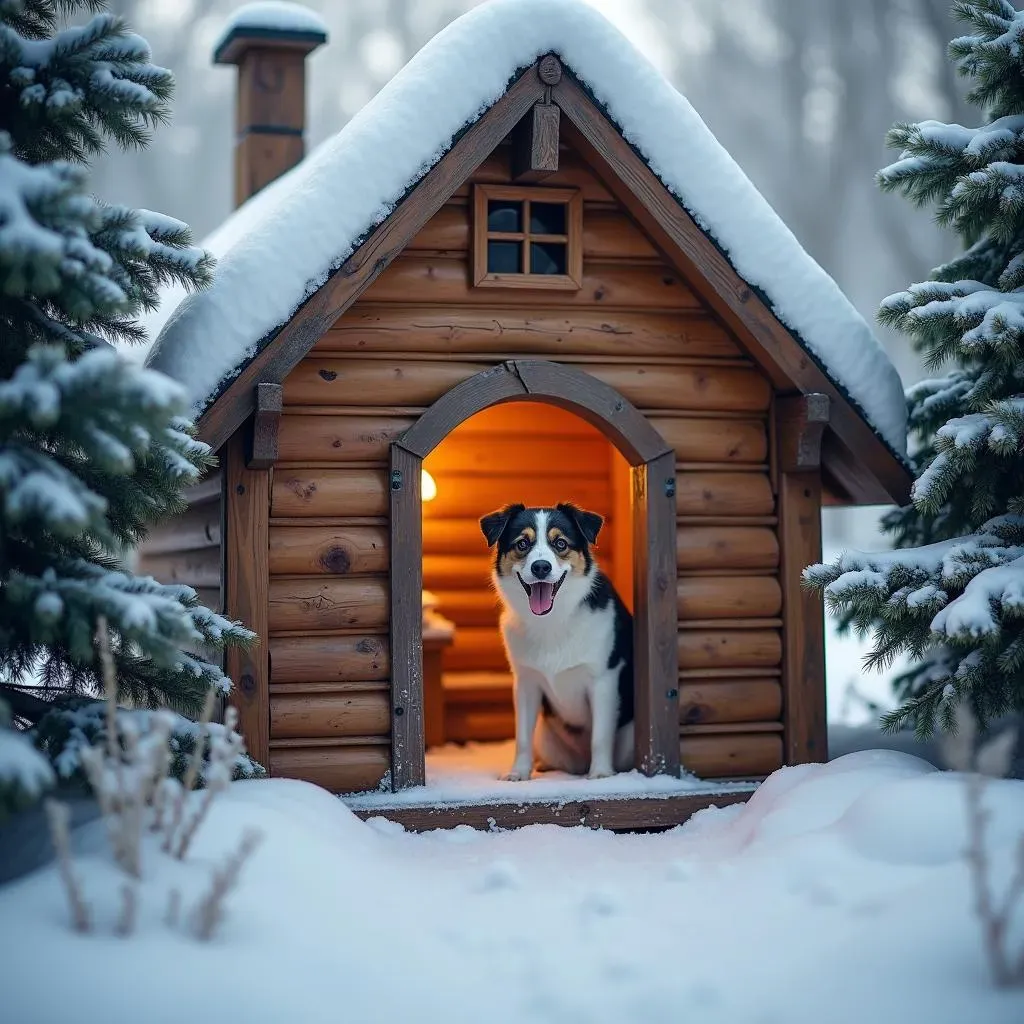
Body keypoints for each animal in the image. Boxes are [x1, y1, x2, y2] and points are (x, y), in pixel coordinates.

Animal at [477, 499, 630, 778]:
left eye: (560, 543)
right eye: (522, 544)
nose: (541, 567)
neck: (553, 619)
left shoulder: (603, 678)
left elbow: (600, 736)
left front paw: (601, 774)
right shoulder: (526, 682)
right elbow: (522, 737)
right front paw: (519, 773)